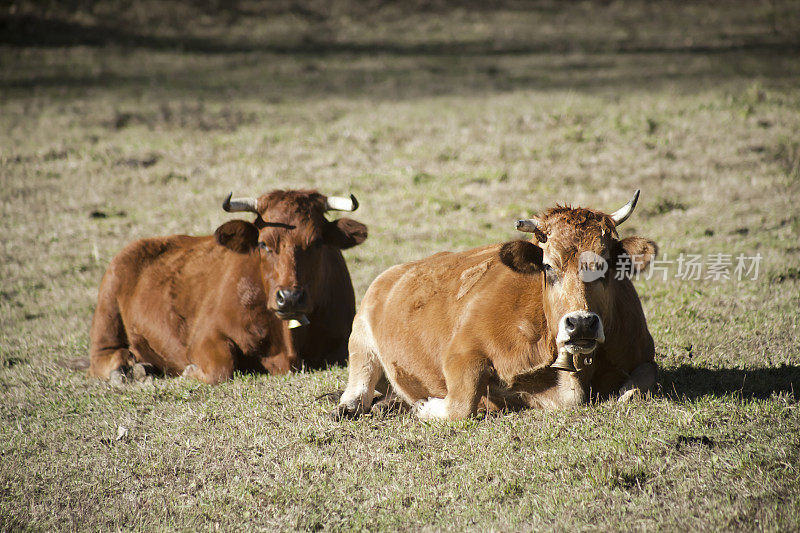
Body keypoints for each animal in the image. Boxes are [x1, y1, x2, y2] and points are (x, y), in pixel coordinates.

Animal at [89, 189, 368, 384]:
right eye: (263, 243)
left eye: (317, 242)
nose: (289, 297)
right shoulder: (205, 336)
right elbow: (221, 369)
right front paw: (189, 372)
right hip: (107, 310)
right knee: (103, 357)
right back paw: (129, 370)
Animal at [336, 189, 656, 418]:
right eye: (548, 266)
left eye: (606, 265)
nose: (581, 324)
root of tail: (392, 272)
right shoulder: (461, 353)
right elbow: (461, 405)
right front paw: (428, 407)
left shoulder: (644, 354)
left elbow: (635, 390)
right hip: (360, 338)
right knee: (359, 387)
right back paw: (354, 405)